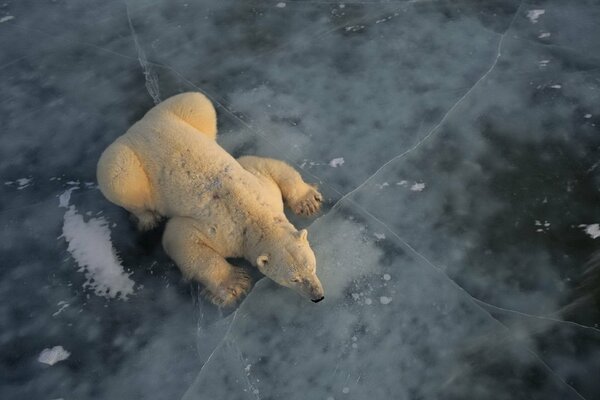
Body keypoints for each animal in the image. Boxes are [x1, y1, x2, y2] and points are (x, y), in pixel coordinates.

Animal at [97, 94, 324, 306]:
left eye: (312, 266)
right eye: (293, 279)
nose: (318, 296)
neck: (255, 216)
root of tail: (135, 129)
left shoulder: (262, 189)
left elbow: (265, 164)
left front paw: (308, 202)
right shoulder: (224, 232)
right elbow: (181, 237)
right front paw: (235, 283)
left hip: (177, 112)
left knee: (199, 104)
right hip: (126, 164)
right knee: (119, 179)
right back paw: (147, 218)